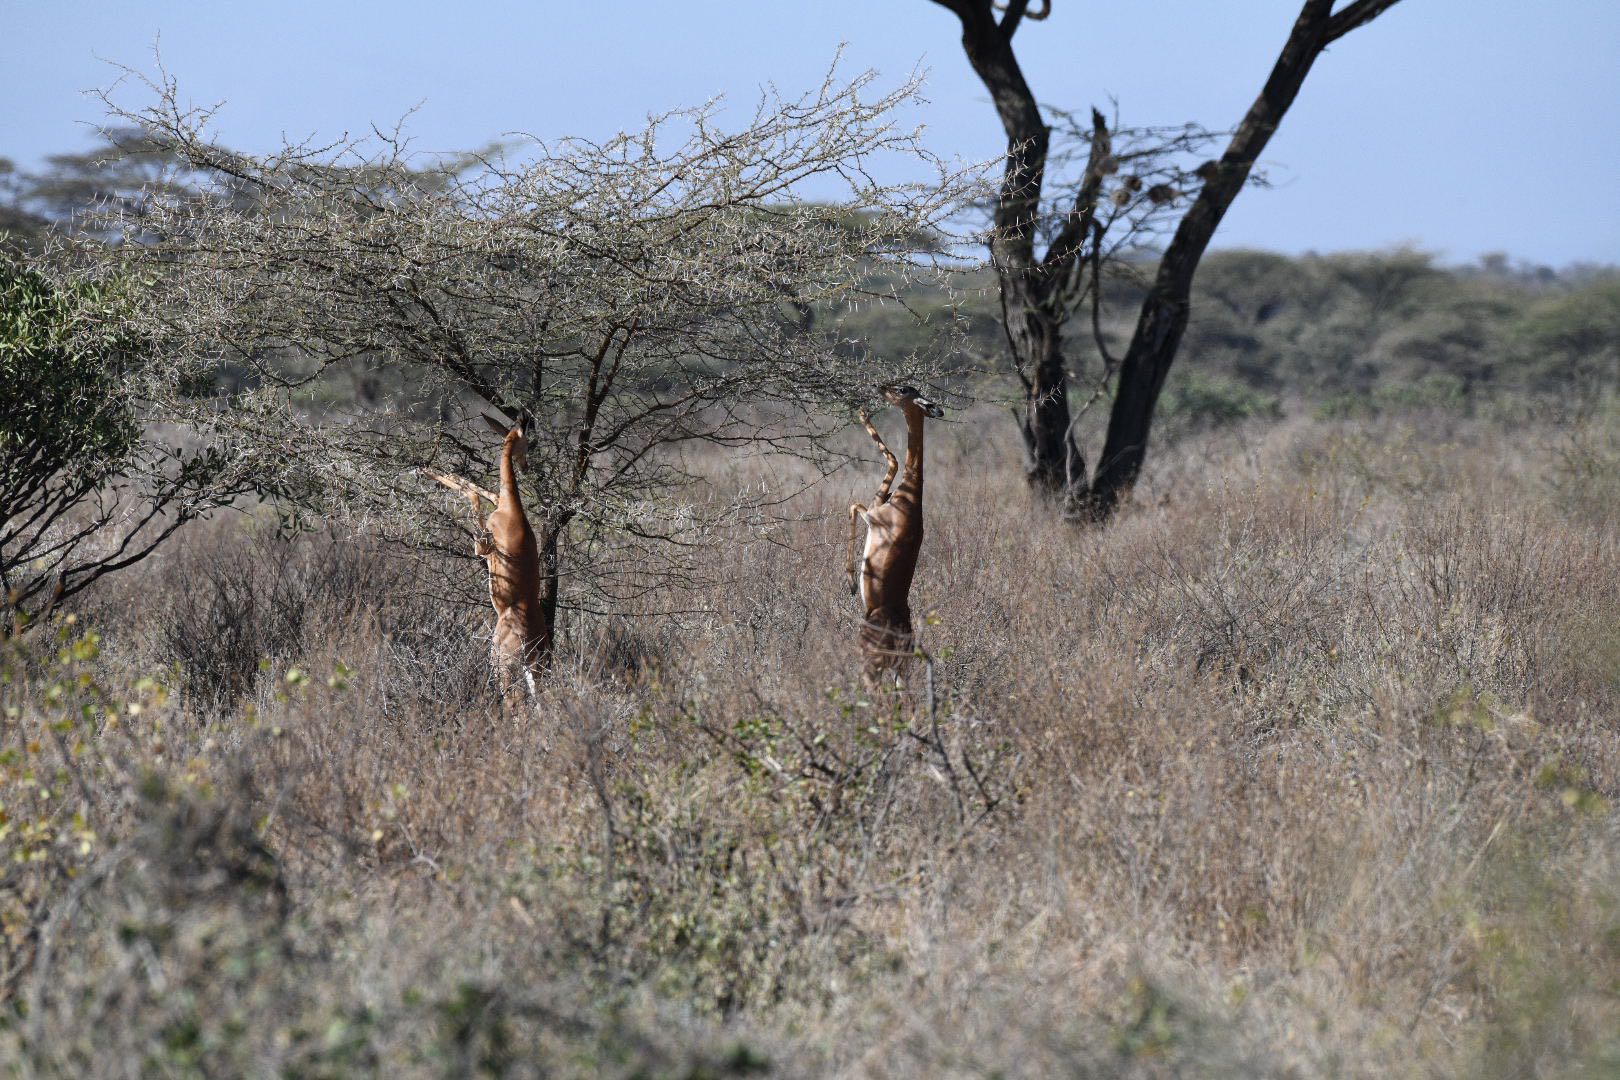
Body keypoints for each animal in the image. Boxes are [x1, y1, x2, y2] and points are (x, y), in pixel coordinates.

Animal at [424, 411, 550, 702]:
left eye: (529, 445)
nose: (526, 467)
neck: (512, 510)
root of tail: (533, 639)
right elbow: (484, 490)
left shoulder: (483, 547)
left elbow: (473, 494)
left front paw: (426, 470)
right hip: (536, 670)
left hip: (503, 665)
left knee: (514, 703)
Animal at [848, 386, 946, 683]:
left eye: (903, 390)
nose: (881, 387)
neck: (910, 497)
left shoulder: (871, 516)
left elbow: (854, 503)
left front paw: (850, 582)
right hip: (899, 672)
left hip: (872, 668)